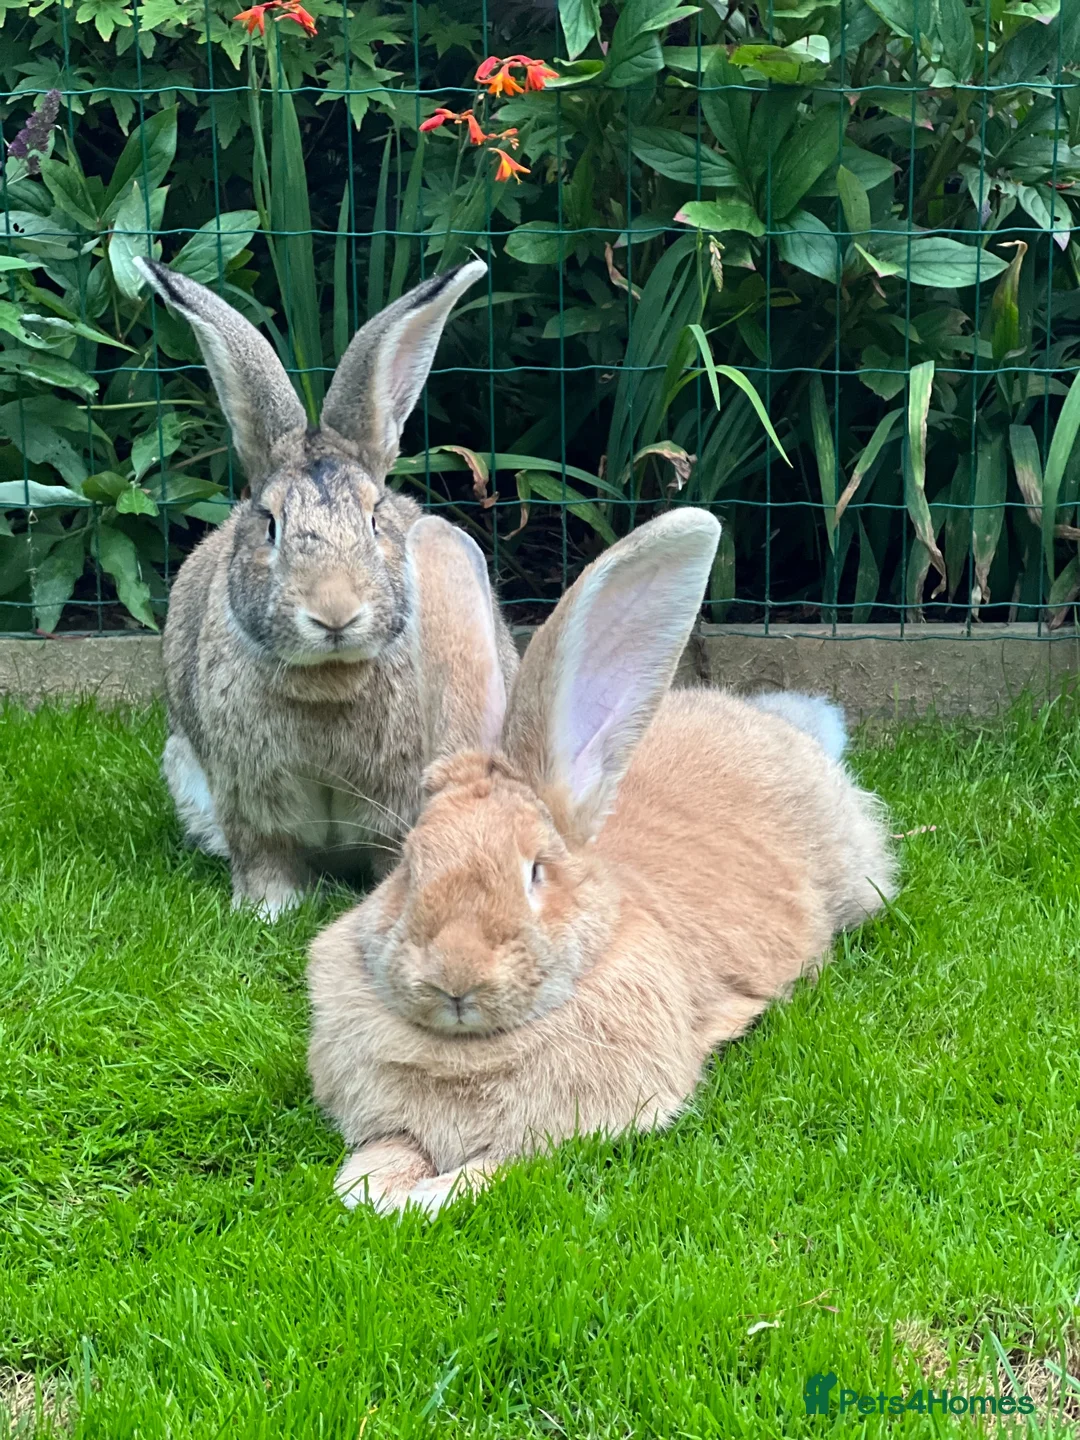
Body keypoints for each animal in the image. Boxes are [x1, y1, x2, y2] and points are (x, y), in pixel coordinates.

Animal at [133, 256, 519, 917]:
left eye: (375, 519)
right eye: (270, 524)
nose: (335, 613)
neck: (330, 679)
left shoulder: (400, 798)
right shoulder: (249, 798)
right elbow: (266, 857)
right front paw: (268, 911)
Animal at [306, 507, 898, 1218]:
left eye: (535, 871)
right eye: (409, 866)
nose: (456, 977)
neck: (468, 1050)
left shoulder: (553, 1136)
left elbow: (492, 1168)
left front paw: (426, 1197)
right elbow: (386, 1152)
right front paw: (373, 1189)